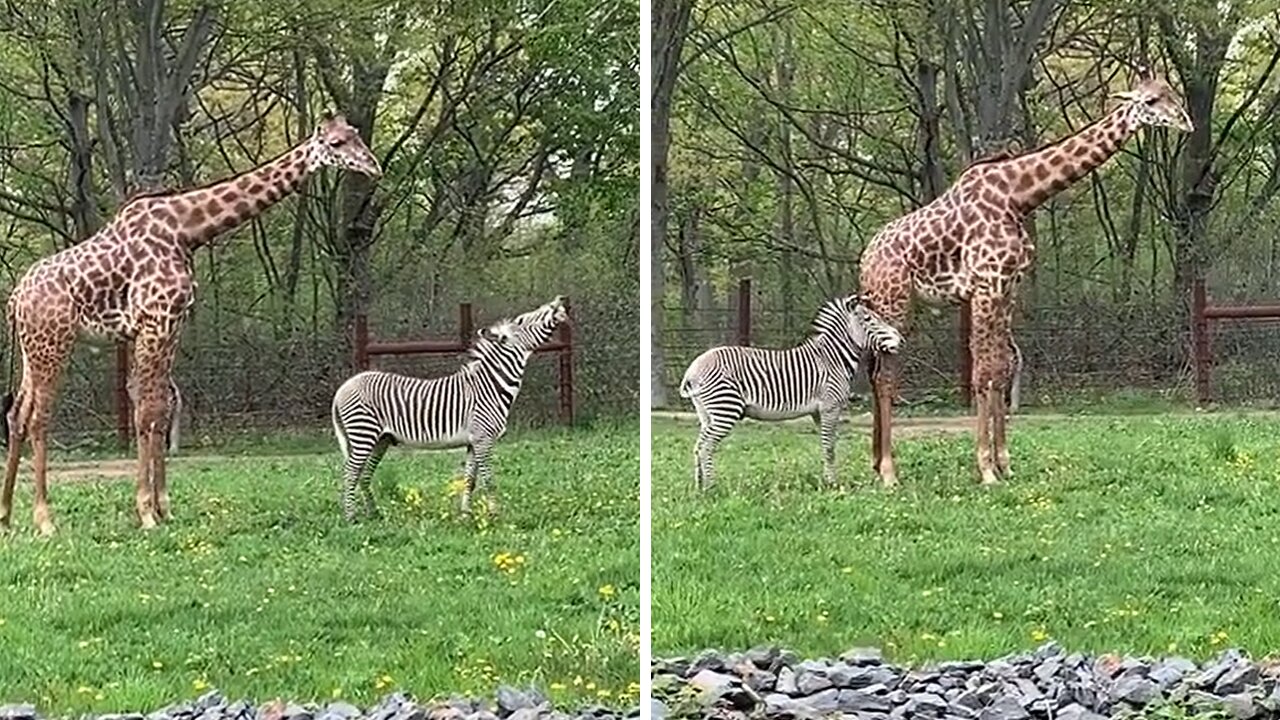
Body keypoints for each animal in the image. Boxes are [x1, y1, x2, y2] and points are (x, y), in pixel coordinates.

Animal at [1, 110, 378, 527]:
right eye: (336, 143)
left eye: (355, 134)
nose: (373, 167)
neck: (187, 229)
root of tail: (16, 299)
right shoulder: (156, 321)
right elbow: (146, 414)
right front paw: (146, 512)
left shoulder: (171, 324)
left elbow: (161, 411)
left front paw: (163, 507)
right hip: (54, 344)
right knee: (39, 417)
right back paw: (44, 519)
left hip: (33, 348)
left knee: (17, 414)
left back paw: (5, 514)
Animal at [332, 294, 568, 517]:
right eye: (522, 320)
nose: (560, 301)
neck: (490, 386)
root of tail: (343, 388)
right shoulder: (483, 438)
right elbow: (489, 479)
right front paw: (494, 514)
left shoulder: (473, 441)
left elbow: (470, 480)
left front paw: (466, 514)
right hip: (364, 433)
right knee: (351, 472)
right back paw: (352, 517)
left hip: (381, 439)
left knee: (364, 473)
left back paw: (374, 513)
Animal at [686, 293, 906, 486]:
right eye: (869, 319)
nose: (902, 340)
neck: (832, 359)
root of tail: (693, 369)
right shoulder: (830, 406)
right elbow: (830, 447)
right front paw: (833, 484)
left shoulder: (818, 412)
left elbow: (825, 444)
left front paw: (826, 479)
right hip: (725, 410)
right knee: (706, 447)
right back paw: (712, 488)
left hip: (707, 414)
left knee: (698, 446)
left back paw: (699, 487)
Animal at [855, 73, 1192, 484]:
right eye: (1151, 100)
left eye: (1173, 94)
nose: (1186, 122)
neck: (1019, 195)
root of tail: (866, 259)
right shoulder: (986, 285)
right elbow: (982, 373)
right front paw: (986, 469)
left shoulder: (1009, 287)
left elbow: (1003, 369)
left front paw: (1004, 463)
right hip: (894, 302)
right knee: (885, 376)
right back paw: (889, 472)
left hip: (889, 304)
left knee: (874, 372)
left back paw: (876, 463)